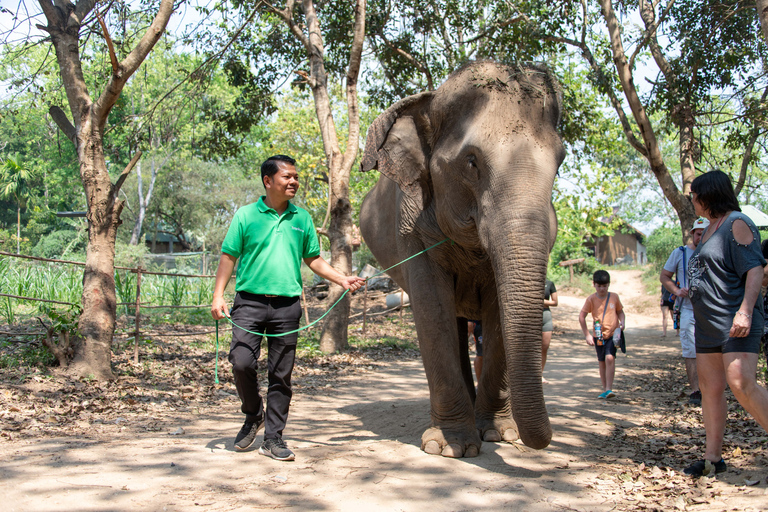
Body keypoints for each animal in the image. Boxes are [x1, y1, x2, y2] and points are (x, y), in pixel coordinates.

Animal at [358, 60, 564, 456]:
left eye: (560, 160)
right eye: (471, 162)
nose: (539, 442)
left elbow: (498, 310)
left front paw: (500, 435)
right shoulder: (411, 226)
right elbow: (431, 308)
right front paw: (450, 447)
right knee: (449, 321)